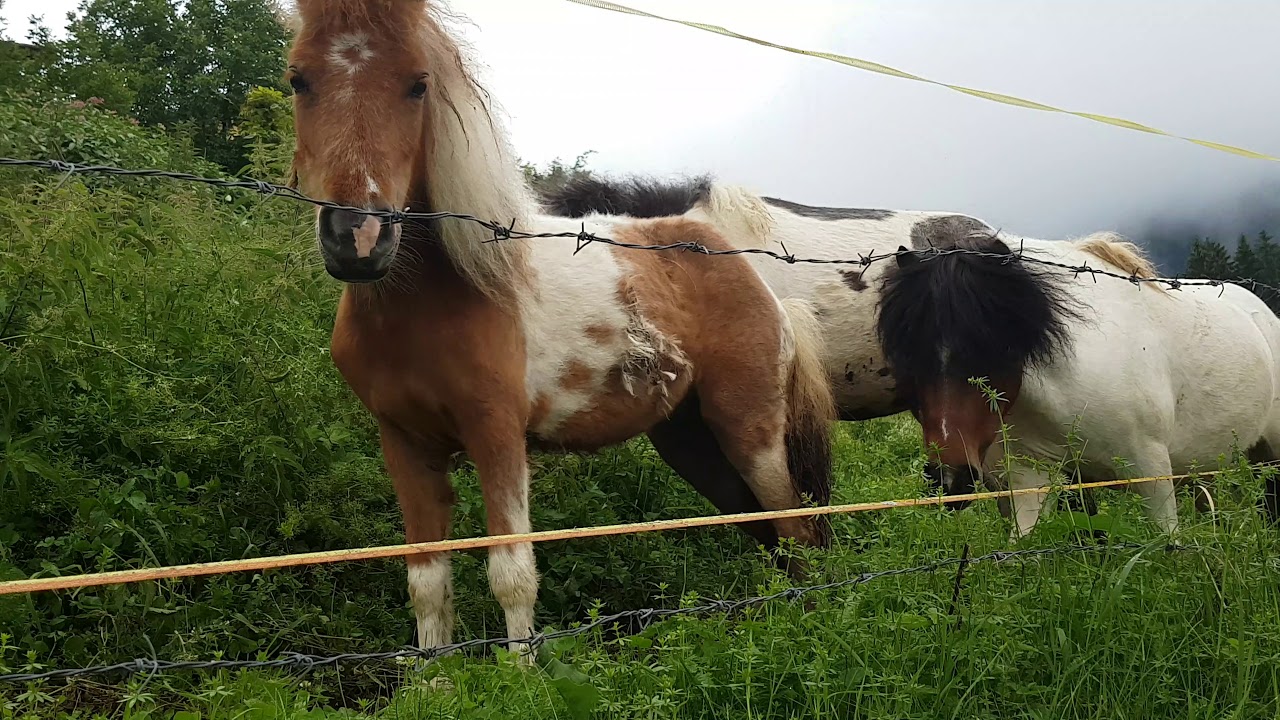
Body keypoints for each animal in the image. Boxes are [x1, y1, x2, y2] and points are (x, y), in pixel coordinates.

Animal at [283, 0, 836, 658]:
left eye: (418, 84)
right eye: (298, 79)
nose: (358, 239)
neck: (438, 298)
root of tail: (762, 285)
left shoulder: (497, 434)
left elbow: (512, 573)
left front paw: (518, 673)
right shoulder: (405, 444)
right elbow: (427, 581)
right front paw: (434, 675)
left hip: (750, 431)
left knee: (795, 527)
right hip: (690, 440)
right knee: (767, 531)